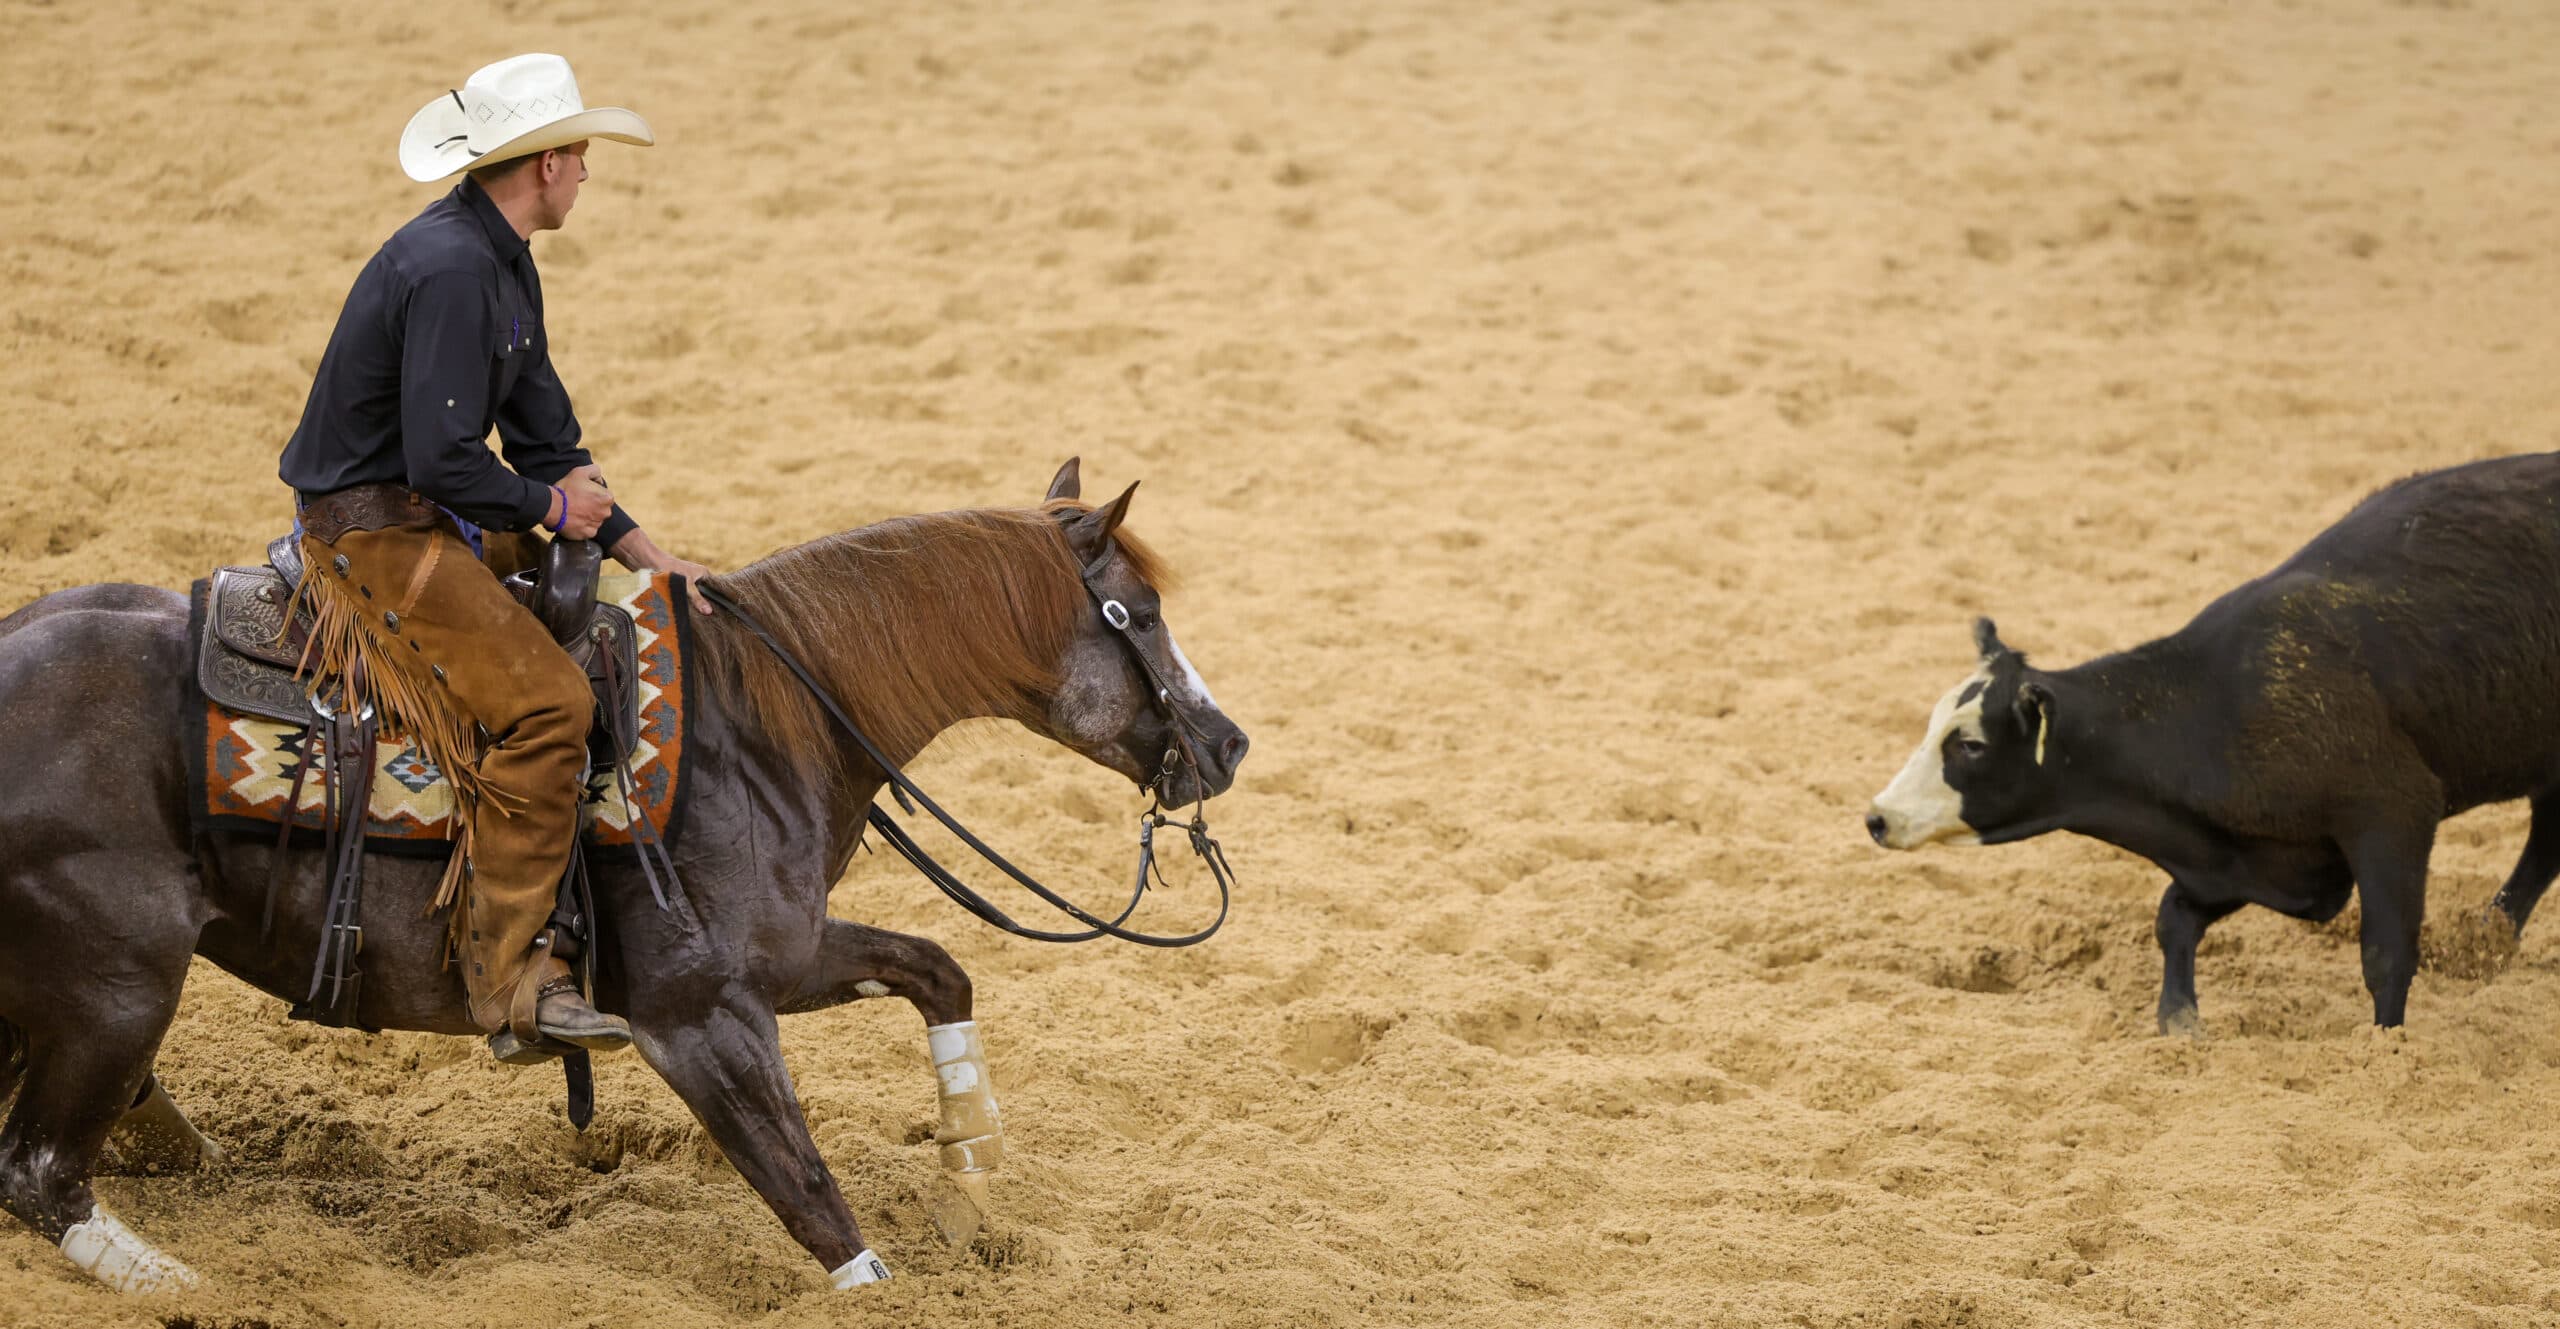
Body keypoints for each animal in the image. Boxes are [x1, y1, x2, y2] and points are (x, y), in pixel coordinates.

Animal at [0, 457, 1250, 1294]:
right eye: (1137, 613)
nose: (1226, 742)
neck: (765, 714)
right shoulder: (696, 1017)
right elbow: (810, 1196)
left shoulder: (787, 958)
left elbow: (938, 969)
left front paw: (972, 1159)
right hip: (122, 979)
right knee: (39, 1169)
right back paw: (172, 1278)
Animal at [1865, 452, 2560, 1034]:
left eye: (1971, 745)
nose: (1878, 817)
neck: (2216, 709)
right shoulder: (2253, 861)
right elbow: (2174, 917)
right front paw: (2180, 1022)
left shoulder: (2393, 812)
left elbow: (2386, 955)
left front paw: (2387, 1047)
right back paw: (2488, 942)